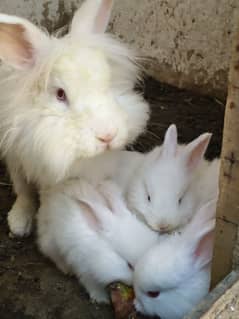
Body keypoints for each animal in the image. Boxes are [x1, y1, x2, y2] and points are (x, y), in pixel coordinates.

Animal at [0, 0, 149, 236]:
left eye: (108, 82)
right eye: (60, 94)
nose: (108, 136)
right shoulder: (16, 155)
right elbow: (23, 190)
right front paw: (19, 223)